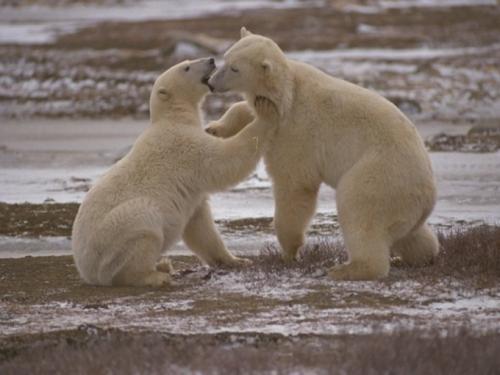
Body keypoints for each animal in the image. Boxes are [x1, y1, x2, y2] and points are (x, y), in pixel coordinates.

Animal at [72, 57, 278, 286]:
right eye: (186, 67)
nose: (211, 60)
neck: (172, 117)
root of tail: (86, 270)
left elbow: (200, 226)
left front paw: (236, 260)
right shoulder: (184, 145)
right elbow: (225, 160)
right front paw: (266, 111)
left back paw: (163, 265)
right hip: (114, 236)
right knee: (143, 224)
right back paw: (157, 274)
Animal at [207, 27, 438, 280]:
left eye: (235, 68)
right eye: (225, 58)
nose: (211, 83)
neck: (287, 92)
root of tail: (428, 196)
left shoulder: (296, 130)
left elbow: (295, 186)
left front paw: (289, 252)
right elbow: (247, 112)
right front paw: (214, 128)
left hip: (380, 176)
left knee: (359, 213)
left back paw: (346, 269)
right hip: (405, 205)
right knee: (410, 234)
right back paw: (419, 255)